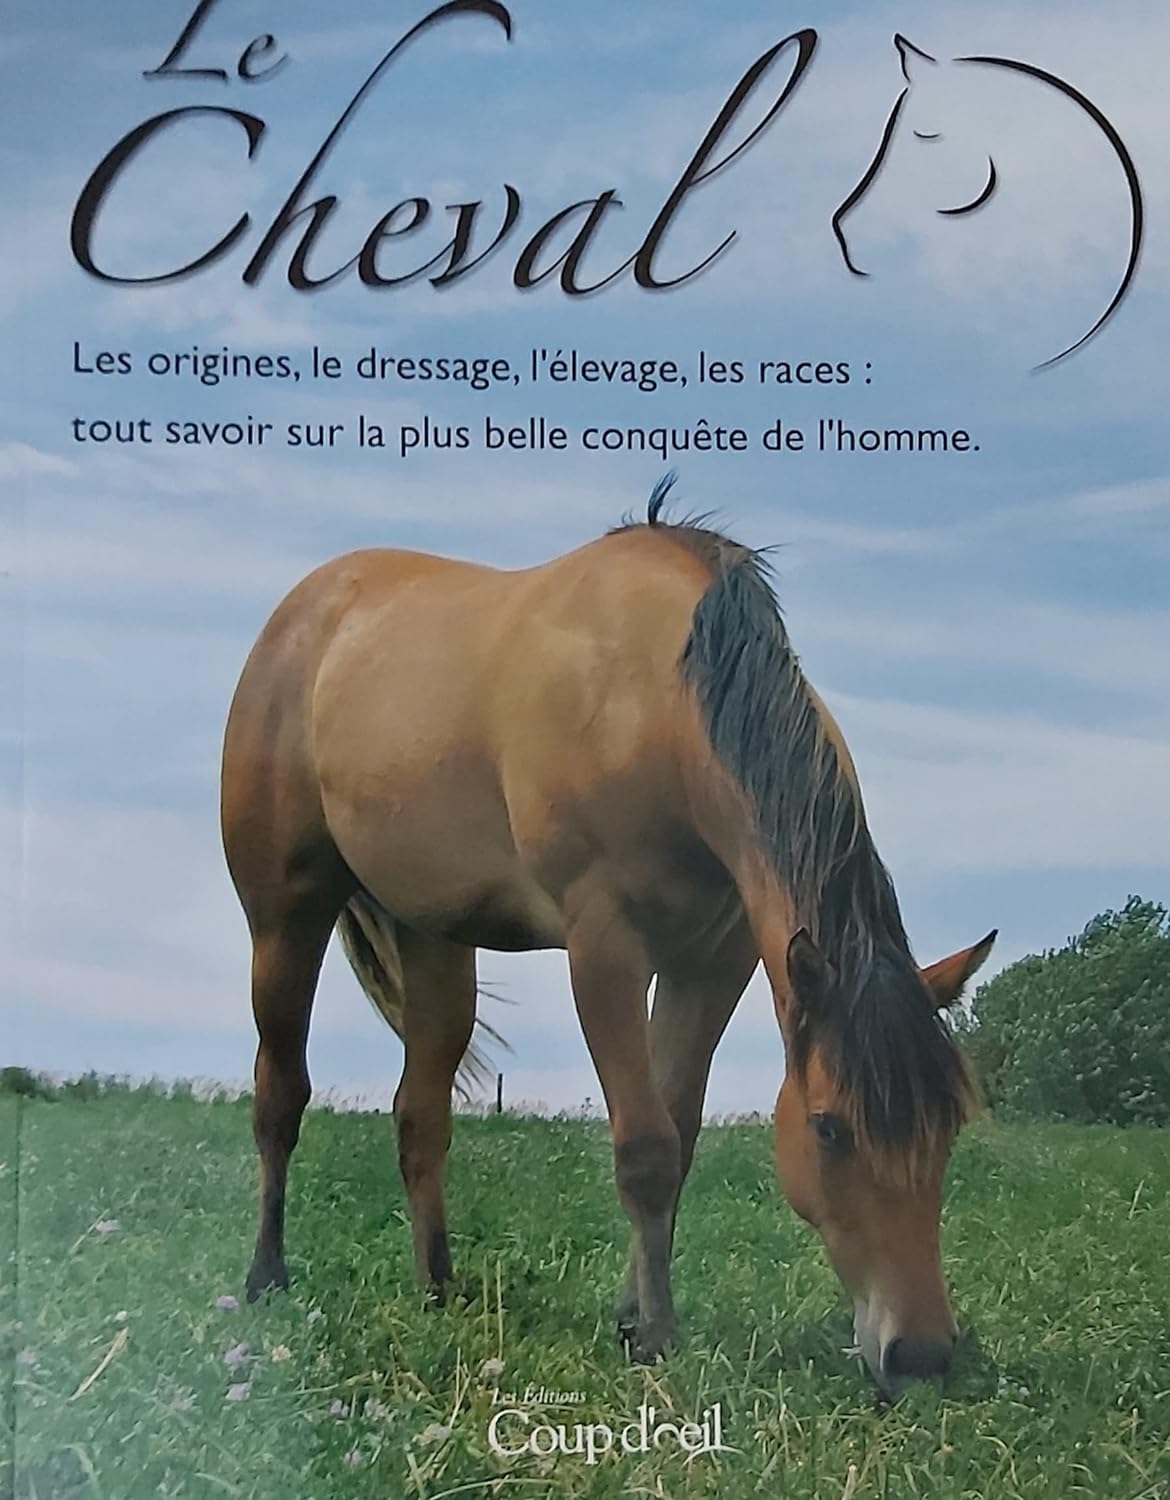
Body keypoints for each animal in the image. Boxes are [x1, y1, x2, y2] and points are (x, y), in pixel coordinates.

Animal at [220, 477, 995, 1396]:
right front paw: (654, 1332)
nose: (922, 1354)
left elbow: (679, 1134)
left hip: (435, 938)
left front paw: (634, 1312)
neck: (657, 706)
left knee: (420, 1116)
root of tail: (305, 610)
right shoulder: (606, 951)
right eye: (829, 1128)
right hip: (284, 918)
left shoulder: (713, 964)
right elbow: (646, 1148)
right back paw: (265, 1276)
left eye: (950, 1125)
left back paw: (439, 1287)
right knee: (280, 1096)